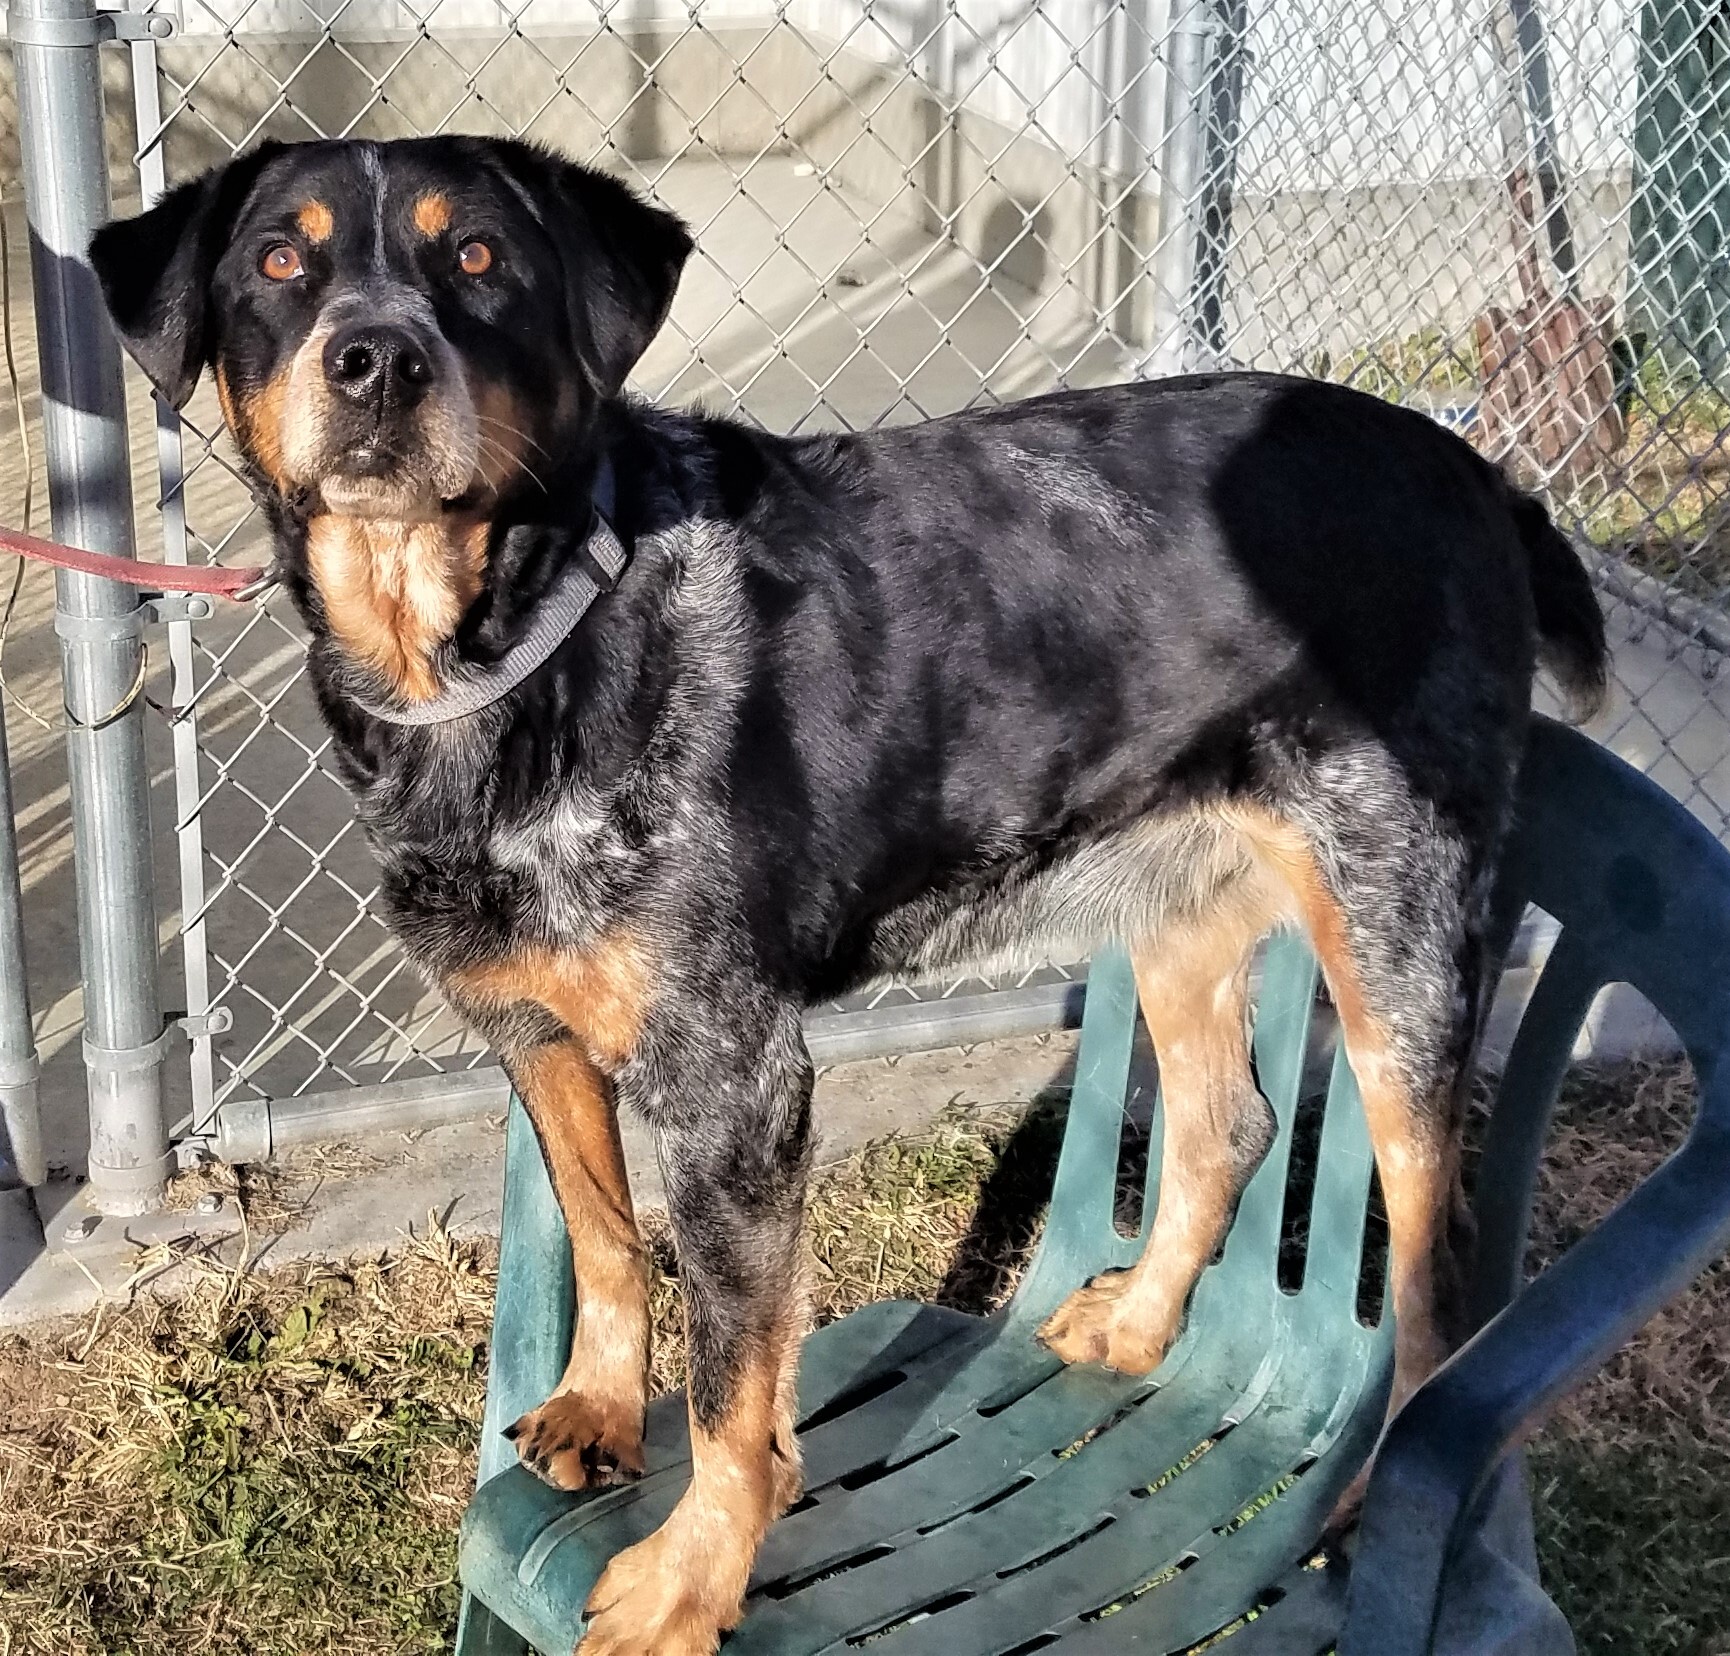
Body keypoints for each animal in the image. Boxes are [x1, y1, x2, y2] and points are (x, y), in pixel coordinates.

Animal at [91, 139, 1605, 1654]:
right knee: (1223, 1127)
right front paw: (600, 1406)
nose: (374, 361)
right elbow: (604, 1236)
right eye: (279, 263)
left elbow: (730, 1386)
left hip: (1396, 938)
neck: (513, 661)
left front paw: (690, 1578)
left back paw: (1361, 1494)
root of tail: (1481, 476)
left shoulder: (733, 1077)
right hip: (1176, 899)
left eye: (476, 258)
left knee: (1434, 1268)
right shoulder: (530, 1032)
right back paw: (1135, 1325)